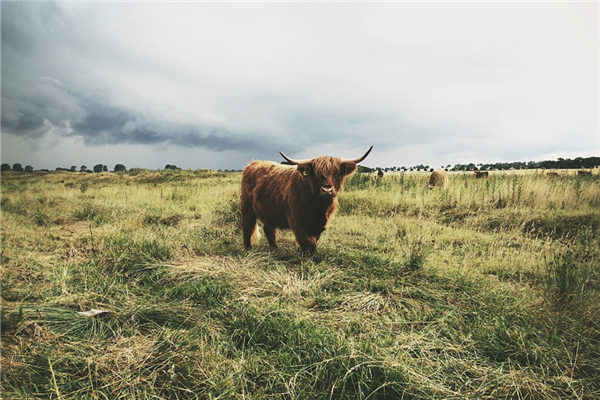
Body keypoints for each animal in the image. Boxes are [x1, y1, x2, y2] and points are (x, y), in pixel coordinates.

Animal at [241, 145, 372, 255]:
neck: (318, 207)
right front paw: (307, 257)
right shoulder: (296, 219)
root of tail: (252, 163)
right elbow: (306, 240)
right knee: (247, 225)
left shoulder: (320, 224)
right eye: (317, 174)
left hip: (270, 211)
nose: (327, 190)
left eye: (337, 174)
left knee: (269, 228)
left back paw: (274, 248)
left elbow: (314, 240)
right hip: (247, 206)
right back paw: (248, 248)